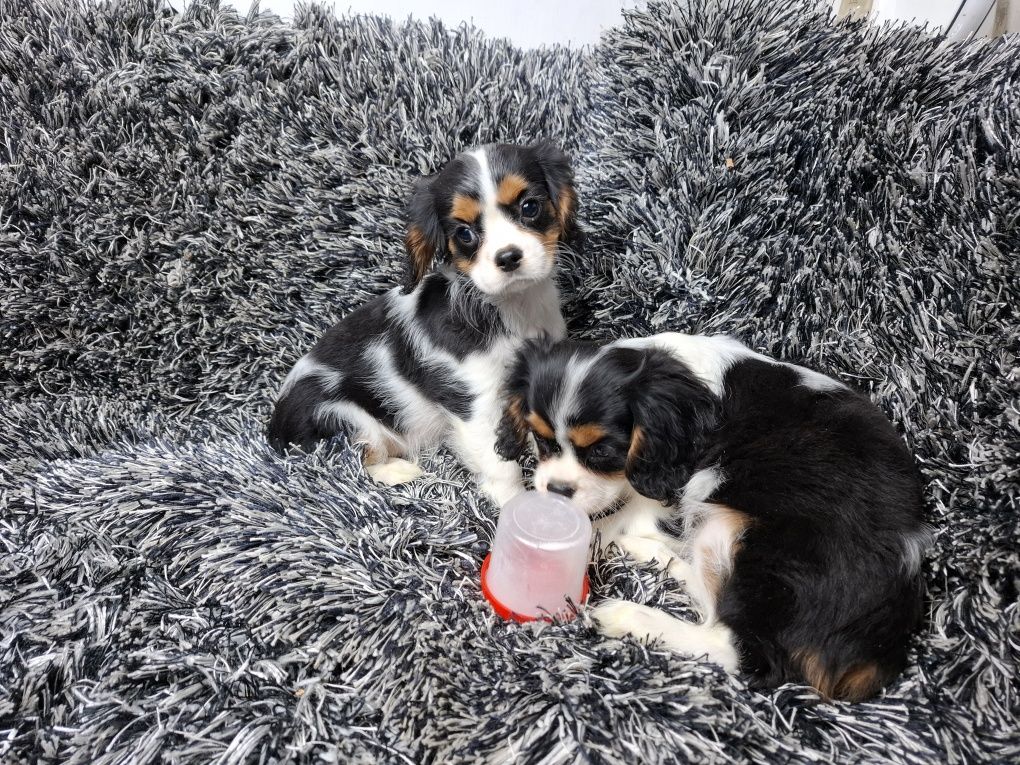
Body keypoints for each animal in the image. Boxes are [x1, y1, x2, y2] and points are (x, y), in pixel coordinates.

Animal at [267, 142, 579, 505]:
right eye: (464, 233)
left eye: (529, 207)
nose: (508, 257)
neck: (511, 308)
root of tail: (273, 429)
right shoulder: (473, 400)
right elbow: (500, 467)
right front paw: (516, 506)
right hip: (343, 418)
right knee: (354, 462)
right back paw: (399, 472)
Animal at [497, 332, 930, 705]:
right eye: (542, 440)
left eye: (602, 451)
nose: (556, 490)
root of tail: (881, 635)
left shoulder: (673, 476)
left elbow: (627, 513)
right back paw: (652, 555)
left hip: (733, 528)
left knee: (734, 643)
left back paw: (629, 614)